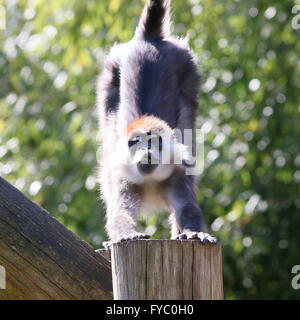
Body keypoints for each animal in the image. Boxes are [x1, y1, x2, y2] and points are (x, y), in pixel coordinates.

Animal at [97, 0, 217, 244]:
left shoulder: (177, 171)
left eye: (153, 141)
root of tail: (148, 39)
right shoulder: (123, 176)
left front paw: (193, 232)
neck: (150, 178)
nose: (146, 152)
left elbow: (186, 207)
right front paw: (128, 235)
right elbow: (120, 212)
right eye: (136, 143)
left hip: (188, 69)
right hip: (111, 71)